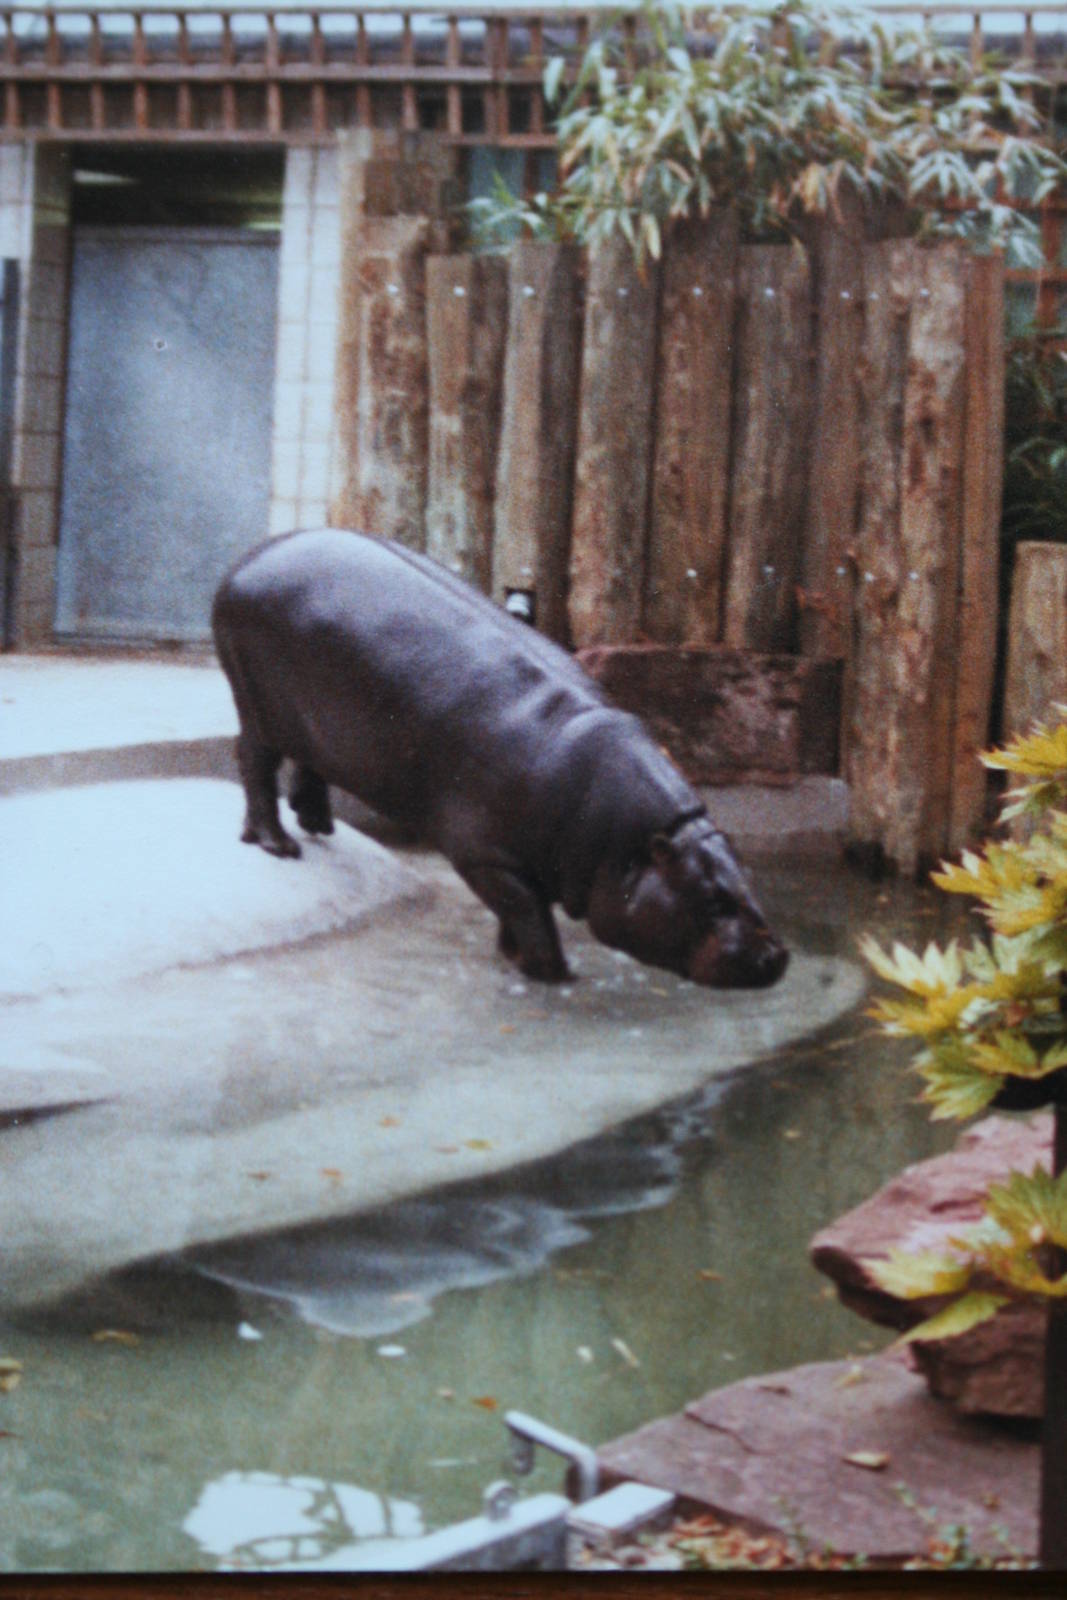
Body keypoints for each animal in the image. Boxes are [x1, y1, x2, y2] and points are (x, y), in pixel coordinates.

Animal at [212, 529, 788, 989]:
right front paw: (553, 975)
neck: (627, 842)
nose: (776, 957)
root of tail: (246, 560)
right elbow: (530, 914)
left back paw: (318, 823)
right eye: (713, 899)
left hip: (314, 720)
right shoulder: (486, 857)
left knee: (307, 762)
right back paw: (280, 845)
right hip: (256, 702)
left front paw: (511, 955)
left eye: (747, 879)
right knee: (254, 763)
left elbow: (519, 915)